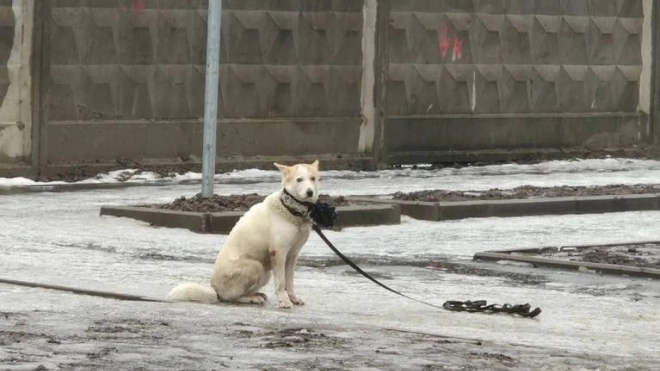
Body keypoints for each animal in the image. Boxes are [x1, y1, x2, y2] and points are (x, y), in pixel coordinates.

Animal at [169, 161, 320, 310]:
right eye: (299, 179)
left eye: (313, 178)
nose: (310, 192)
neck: (291, 209)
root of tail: (215, 290)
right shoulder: (279, 253)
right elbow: (281, 282)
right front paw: (283, 301)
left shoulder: (292, 256)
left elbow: (290, 282)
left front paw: (293, 299)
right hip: (255, 266)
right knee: (232, 297)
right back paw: (251, 298)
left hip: (265, 272)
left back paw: (257, 295)